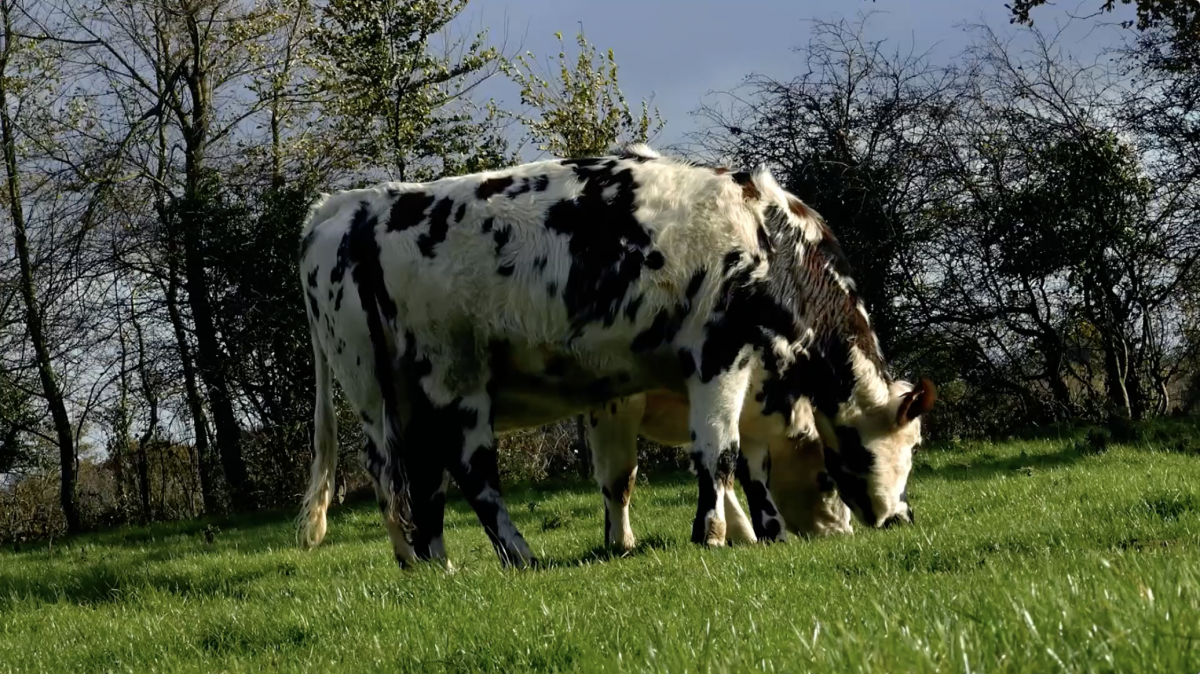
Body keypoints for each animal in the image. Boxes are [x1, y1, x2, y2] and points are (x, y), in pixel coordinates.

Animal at [295, 141, 931, 566]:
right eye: (905, 446)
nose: (899, 518)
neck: (765, 236)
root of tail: (351, 206)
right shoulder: (717, 354)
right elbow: (718, 453)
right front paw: (711, 534)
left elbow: (737, 464)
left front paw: (761, 531)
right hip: (446, 383)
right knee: (461, 474)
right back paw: (513, 555)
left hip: (402, 394)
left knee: (421, 478)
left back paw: (434, 562)